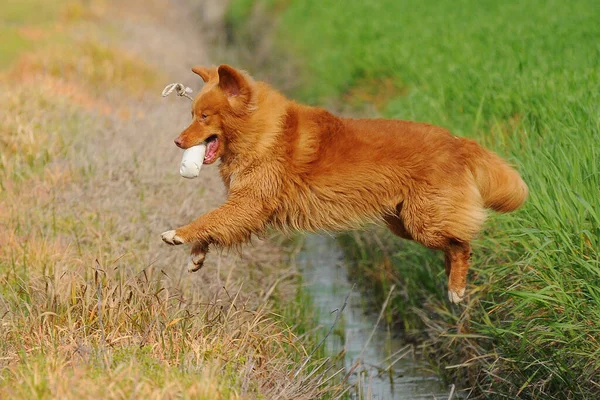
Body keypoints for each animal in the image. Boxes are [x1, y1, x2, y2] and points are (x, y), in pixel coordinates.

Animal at [162, 65, 528, 304]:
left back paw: (456, 288)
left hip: (423, 221)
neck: (261, 131)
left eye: (204, 117)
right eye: (193, 114)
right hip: (405, 223)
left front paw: (179, 234)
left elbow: (210, 218)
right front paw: (197, 254)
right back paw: (451, 279)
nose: (177, 142)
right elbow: (217, 223)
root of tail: (458, 142)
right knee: (454, 245)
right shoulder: (245, 206)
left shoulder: (250, 202)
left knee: (462, 245)